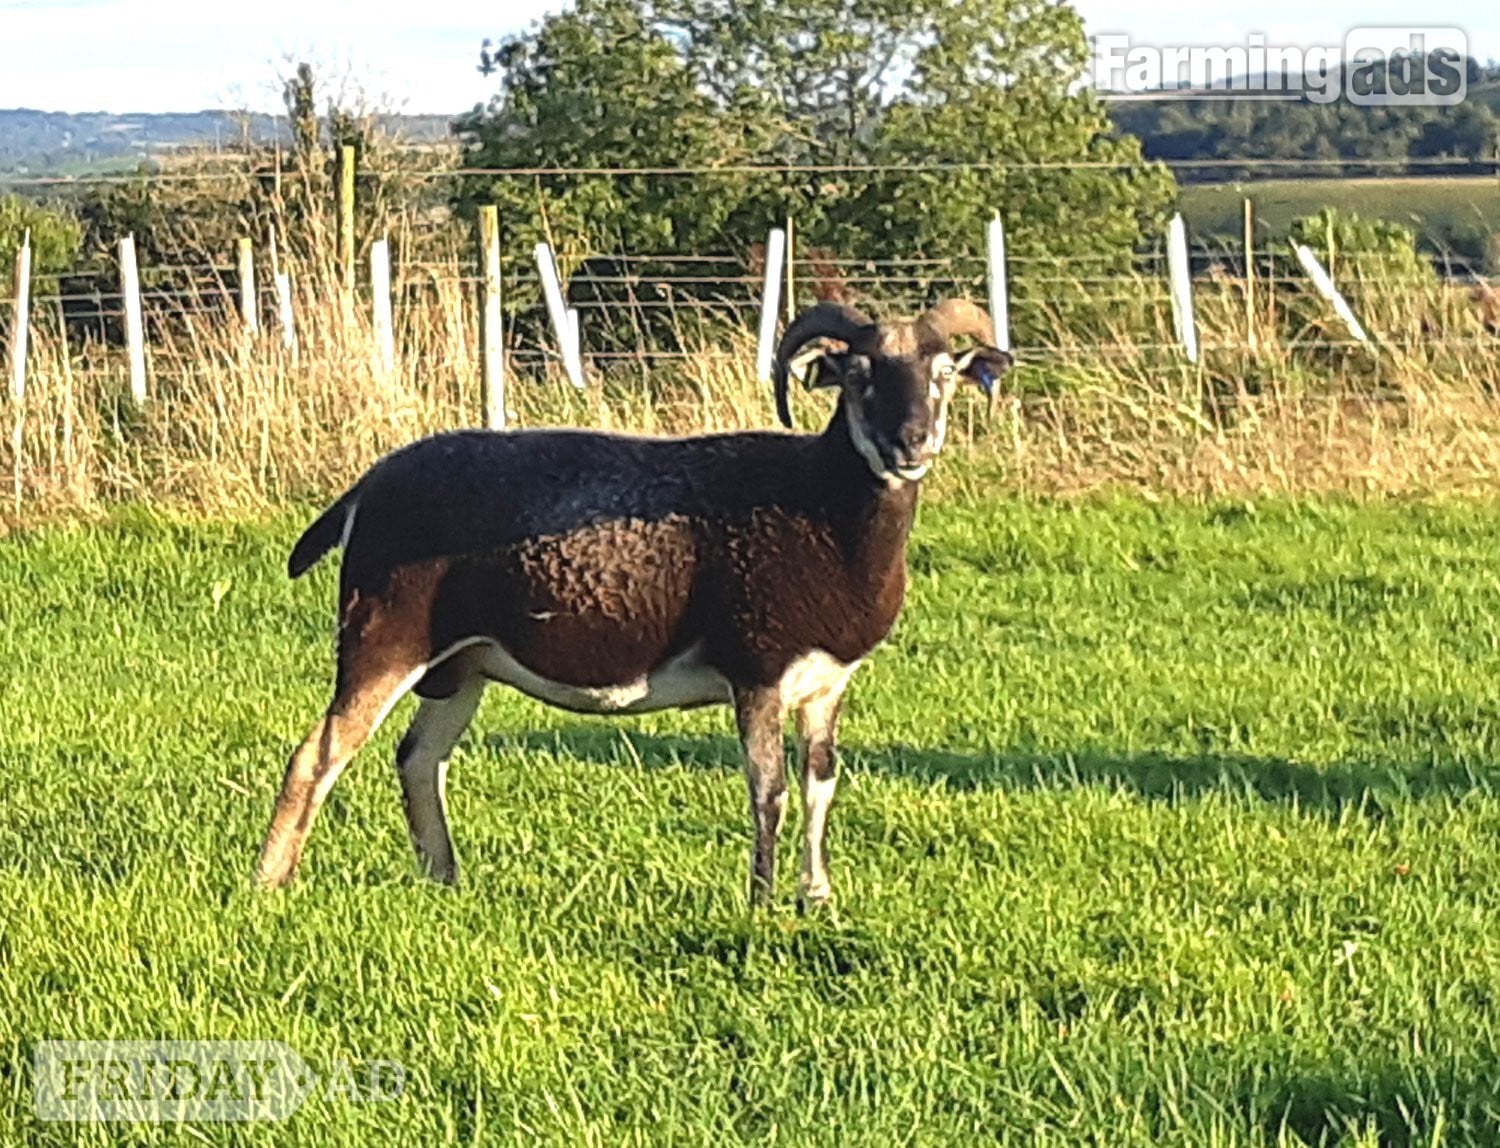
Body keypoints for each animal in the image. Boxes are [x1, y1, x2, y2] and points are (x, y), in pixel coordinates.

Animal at [253, 297, 1013, 907]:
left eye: (943, 374)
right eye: (859, 377)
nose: (912, 443)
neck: (820, 508)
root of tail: (365, 489)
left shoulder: (826, 684)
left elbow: (819, 783)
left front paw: (817, 897)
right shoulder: (756, 670)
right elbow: (766, 789)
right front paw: (762, 901)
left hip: (461, 665)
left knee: (417, 759)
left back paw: (445, 880)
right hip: (383, 637)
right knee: (317, 755)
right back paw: (270, 881)